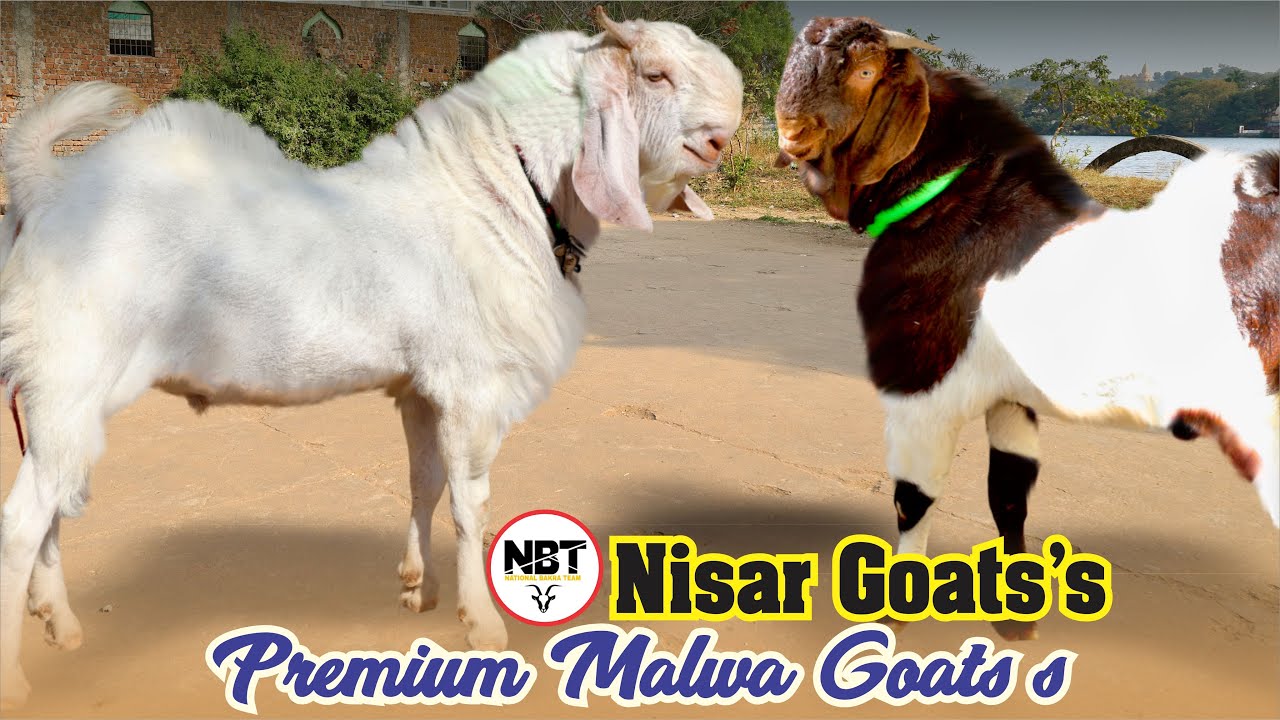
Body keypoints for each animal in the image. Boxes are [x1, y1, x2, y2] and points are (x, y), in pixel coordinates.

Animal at [0, 9, 742, 707]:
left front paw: (418, 588)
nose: (718, 142)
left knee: (53, 499)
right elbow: (471, 504)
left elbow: (424, 482)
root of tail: (50, 186)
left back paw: (60, 623)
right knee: (21, 521)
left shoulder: (422, 389)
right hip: (72, 371)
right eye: (655, 76)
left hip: (65, 395)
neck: (501, 193)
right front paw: (484, 626)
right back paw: (17, 679)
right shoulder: (472, 388)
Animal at [774, 16, 1279, 641]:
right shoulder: (1007, 397)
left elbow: (913, 501)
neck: (962, 206)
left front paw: (893, 617)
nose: (790, 132)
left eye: (865, 70)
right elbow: (1009, 495)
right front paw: (1016, 620)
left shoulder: (922, 387)